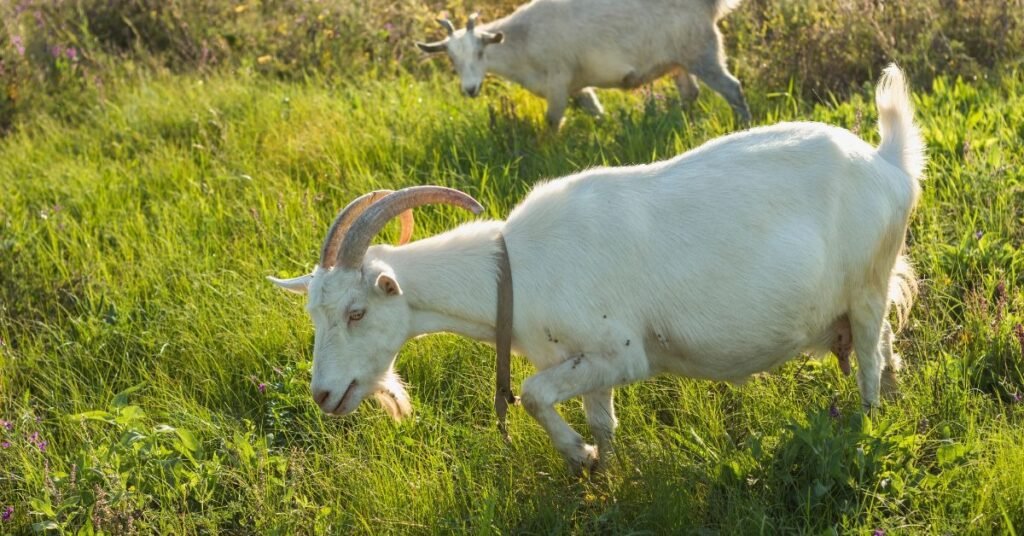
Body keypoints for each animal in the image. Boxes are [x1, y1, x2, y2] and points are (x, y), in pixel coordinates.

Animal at [269, 65, 924, 473]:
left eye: (357, 312)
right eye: (315, 316)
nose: (323, 394)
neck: (514, 268)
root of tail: (887, 163)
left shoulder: (620, 352)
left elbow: (533, 396)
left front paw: (578, 456)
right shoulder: (581, 361)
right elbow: (600, 420)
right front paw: (601, 469)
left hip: (865, 287)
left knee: (869, 361)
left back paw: (867, 422)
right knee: (886, 345)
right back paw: (895, 398)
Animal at [415, 0, 752, 129]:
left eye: (480, 53)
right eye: (452, 59)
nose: (470, 89)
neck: (522, 40)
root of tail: (708, 5)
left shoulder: (558, 80)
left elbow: (552, 122)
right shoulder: (575, 86)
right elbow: (594, 109)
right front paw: (608, 128)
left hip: (702, 53)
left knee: (732, 89)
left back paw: (744, 125)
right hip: (679, 61)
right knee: (689, 94)